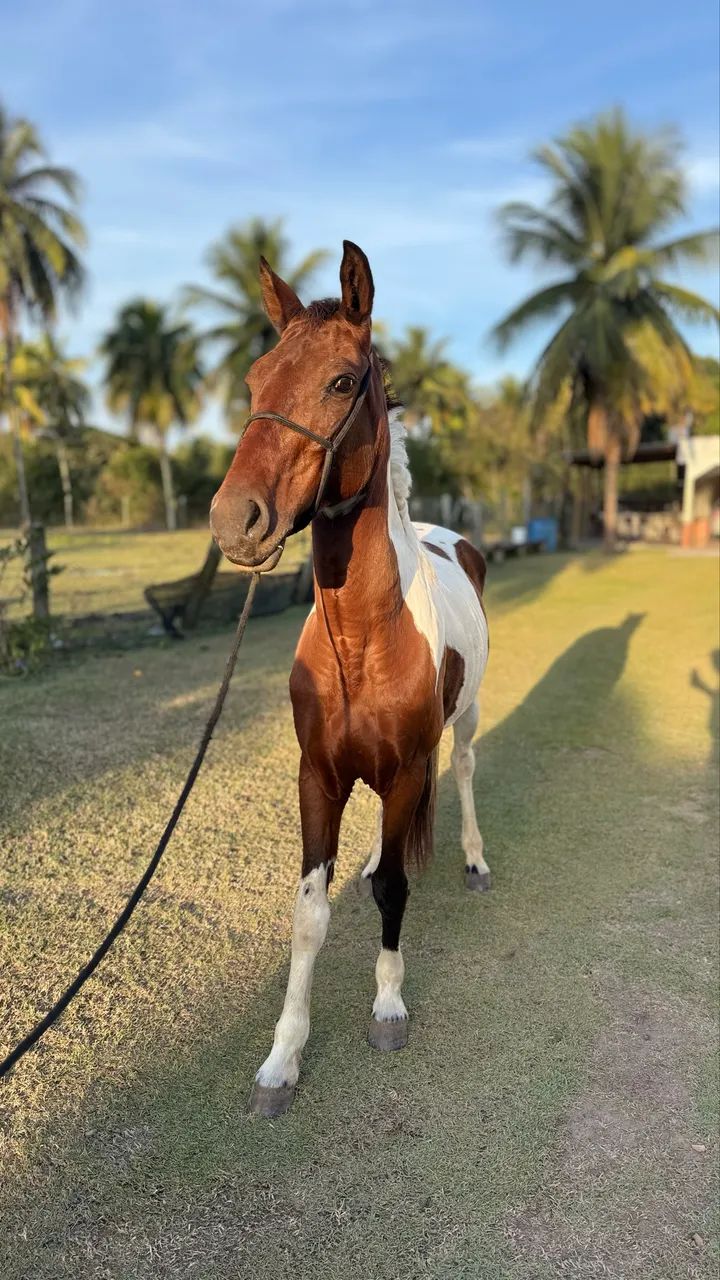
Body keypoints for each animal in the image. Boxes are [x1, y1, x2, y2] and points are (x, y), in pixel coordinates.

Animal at [210, 242, 490, 1118]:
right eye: (254, 380)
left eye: (340, 381)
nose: (234, 520)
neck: (365, 641)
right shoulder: (319, 776)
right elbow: (310, 915)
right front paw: (281, 1061)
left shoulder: (403, 769)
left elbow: (396, 893)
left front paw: (389, 1008)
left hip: (464, 722)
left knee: (463, 770)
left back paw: (475, 861)